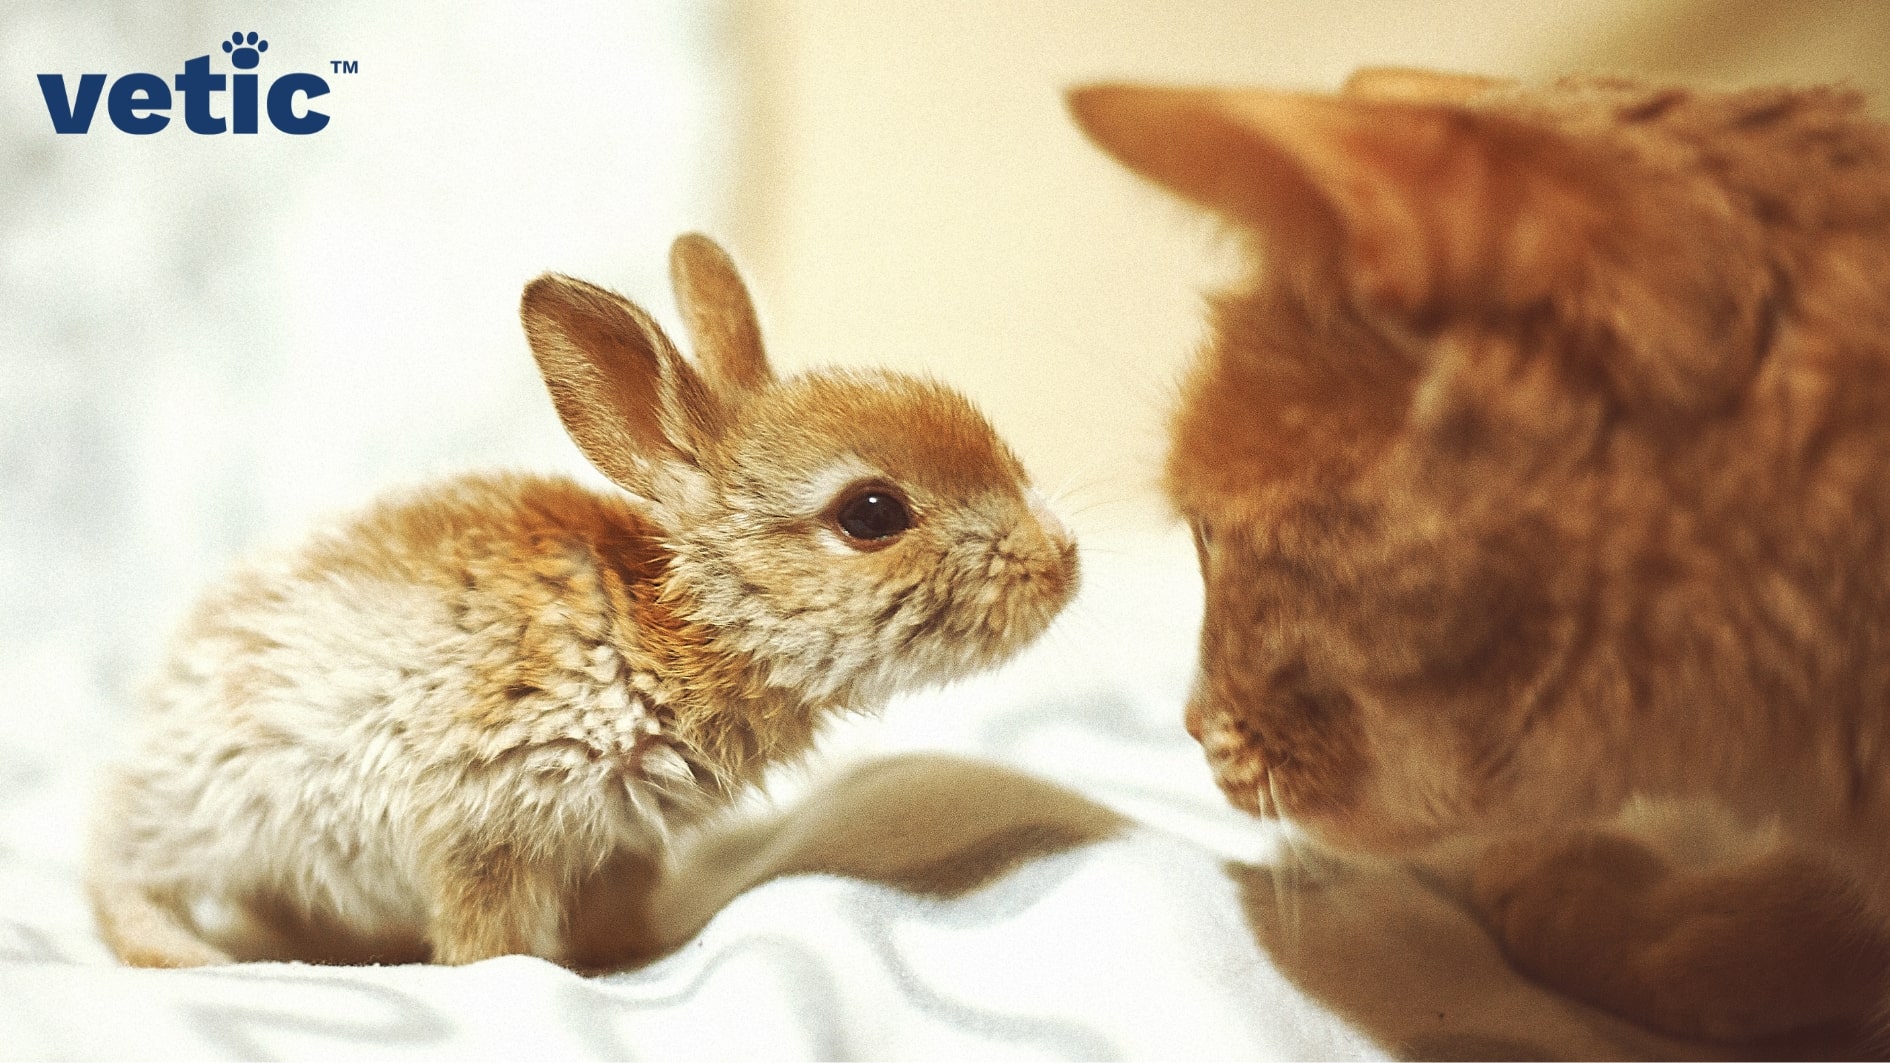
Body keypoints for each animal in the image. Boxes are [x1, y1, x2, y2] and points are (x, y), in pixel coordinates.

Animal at [86, 233, 1080, 969]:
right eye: (871, 513)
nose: (1061, 563)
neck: (675, 624)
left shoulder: (619, 844)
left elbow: (616, 912)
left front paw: (633, 956)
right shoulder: (482, 825)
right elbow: (486, 935)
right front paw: (516, 973)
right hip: (206, 806)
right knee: (118, 874)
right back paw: (188, 954)